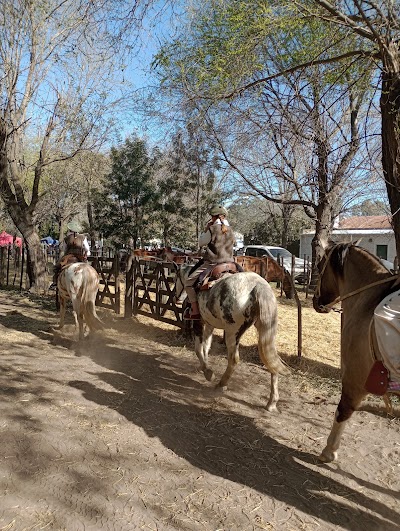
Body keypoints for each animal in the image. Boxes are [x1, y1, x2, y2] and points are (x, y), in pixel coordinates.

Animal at [175, 264, 288, 412]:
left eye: (176, 278)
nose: (177, 299)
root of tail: (258, 285)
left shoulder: (199, 322)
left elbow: (198, 349)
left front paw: (208, 372)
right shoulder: (209, 324)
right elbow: (206, 346)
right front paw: (204, 366)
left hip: (232, 332)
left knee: (234, 360)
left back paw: (221, 385)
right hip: (266, 332)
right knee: (272, 363)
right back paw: (272, 402)